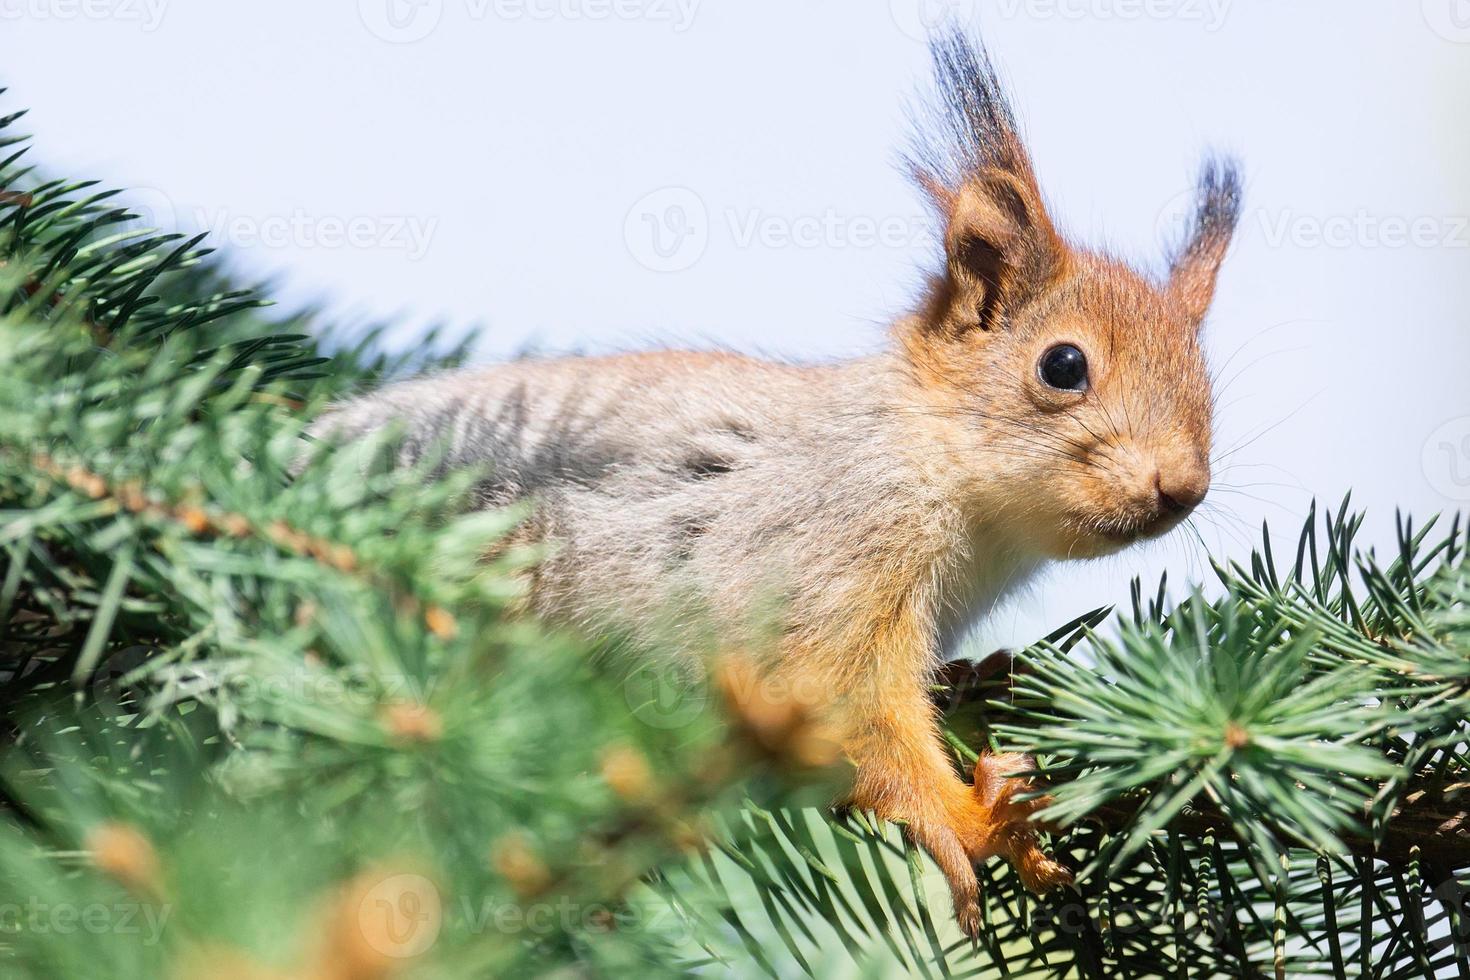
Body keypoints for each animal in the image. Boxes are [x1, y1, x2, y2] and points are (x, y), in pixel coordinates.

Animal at [313, 28, 1240, 934]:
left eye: (1208, 385)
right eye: (1063, 365)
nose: (1182, 489)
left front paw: (981, 680)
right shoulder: (835, 543)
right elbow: (835, 694)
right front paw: (975, 819)